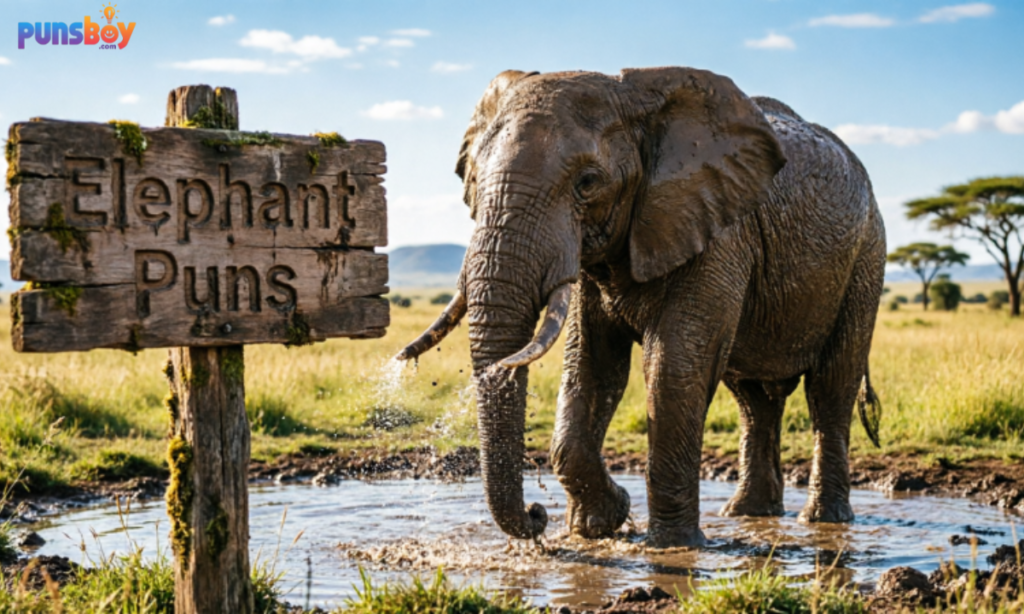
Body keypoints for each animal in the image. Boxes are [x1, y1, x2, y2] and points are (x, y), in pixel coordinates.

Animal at [396, 66, 885, 548]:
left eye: (587, 183)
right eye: (473, 182)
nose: (537, 515)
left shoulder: (718, 229)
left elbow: (673, 368)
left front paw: (671, 546)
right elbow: (593, 367)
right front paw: (600, 525)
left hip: (866, 257)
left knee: (830, 387)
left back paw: (823, 521)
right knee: (753, 399)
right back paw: (747, 514)